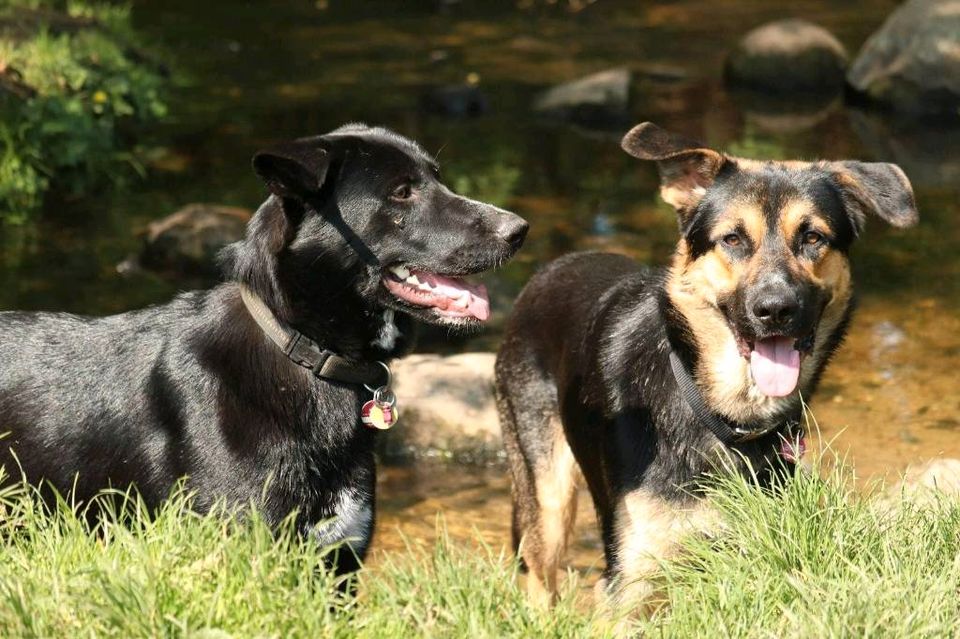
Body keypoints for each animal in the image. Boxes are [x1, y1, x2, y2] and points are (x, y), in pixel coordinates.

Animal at [498, 121, 920, 608]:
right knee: (540, 576)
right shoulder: (632, 582)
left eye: (813, 238)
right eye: (732, 239)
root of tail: (554, 268)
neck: (726, 418)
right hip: (545, 491)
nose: (775, 310)